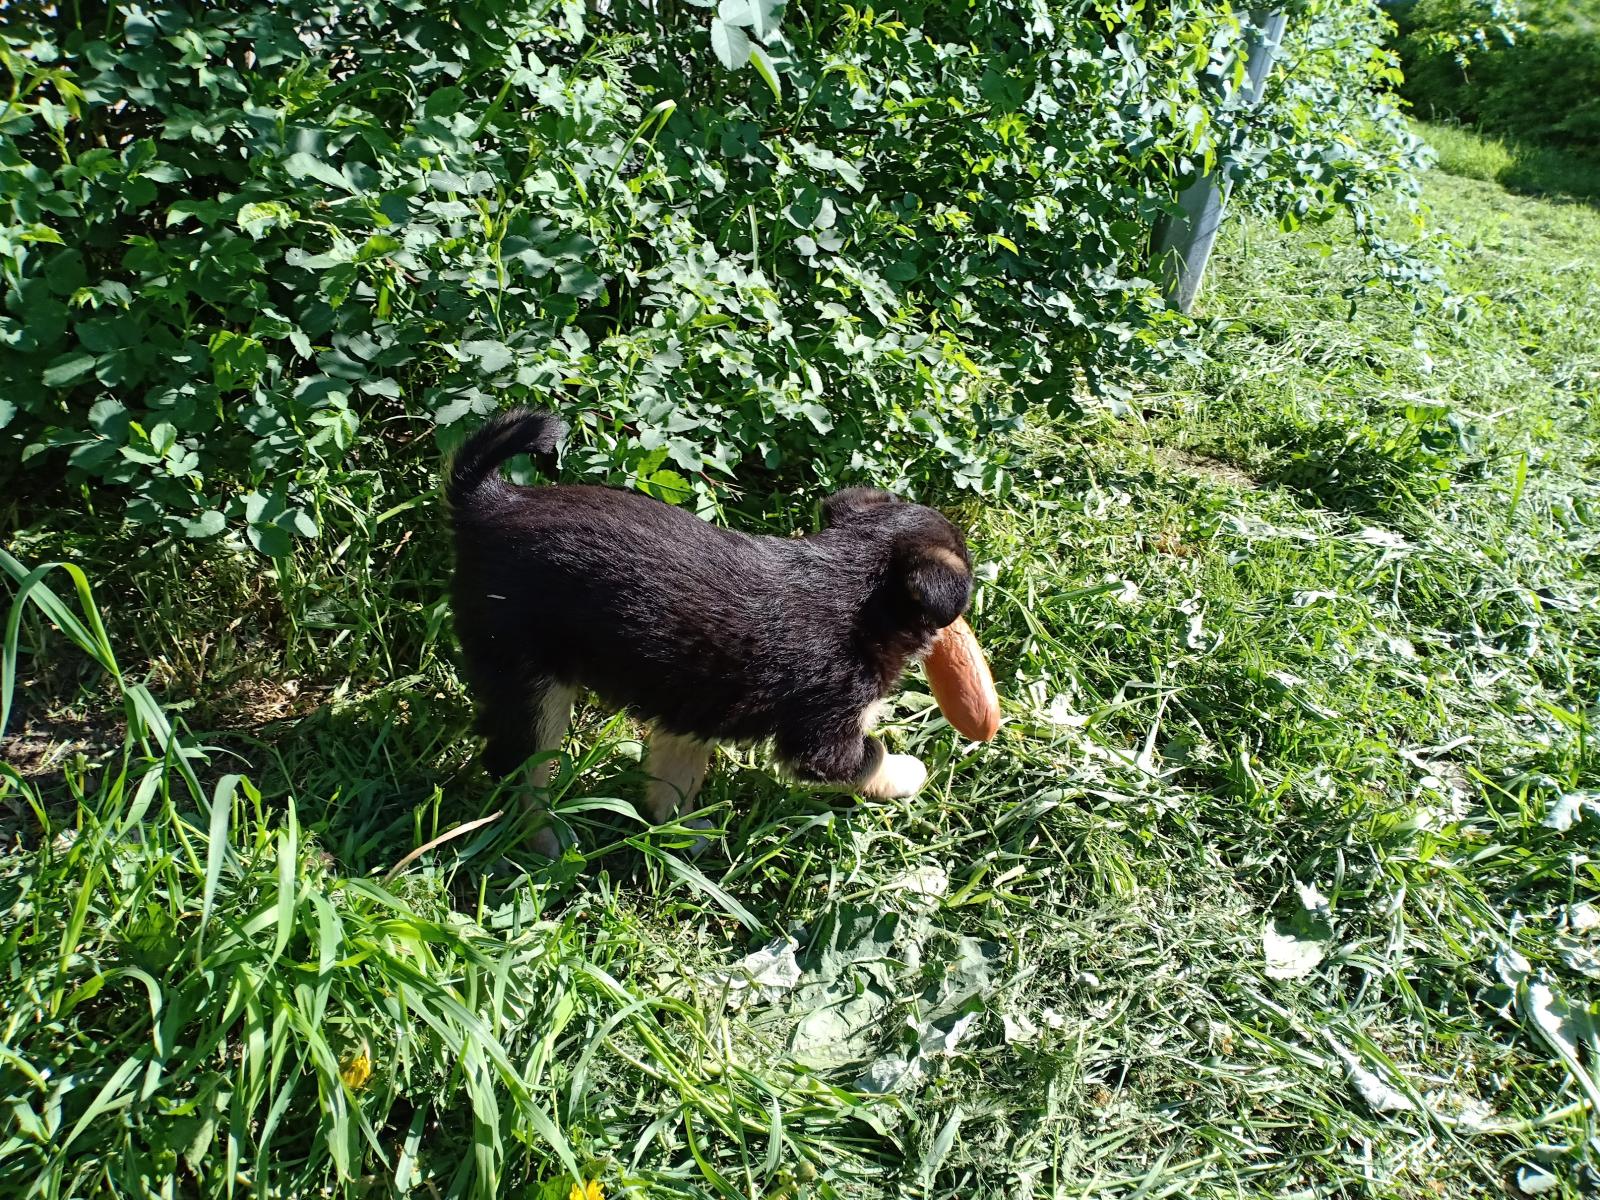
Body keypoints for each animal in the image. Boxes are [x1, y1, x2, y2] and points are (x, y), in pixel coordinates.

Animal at [447, 408, 973, 838]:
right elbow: (872, 760)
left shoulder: (693, 708)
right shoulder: (826, 738)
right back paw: (541, 837)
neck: (855, 582)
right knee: (517, 766)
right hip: (529, 679)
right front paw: (910, 774)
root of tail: (491, 501)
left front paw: (679, 834)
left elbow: (674, 778)